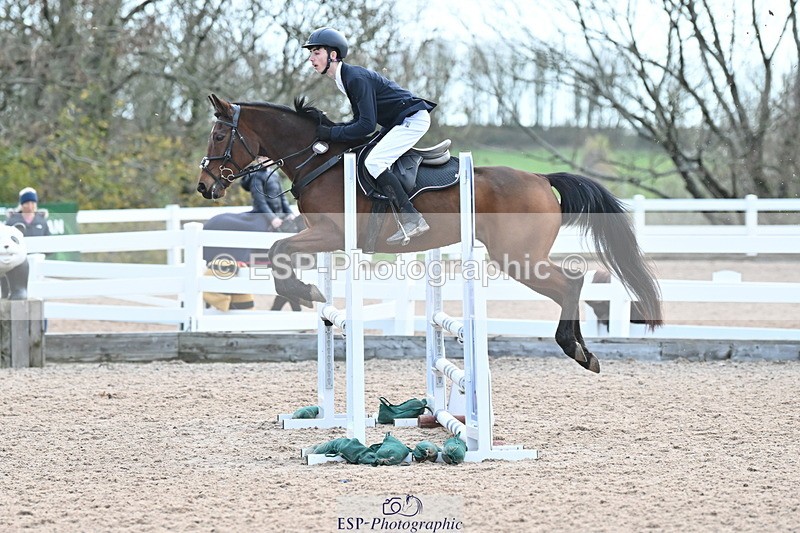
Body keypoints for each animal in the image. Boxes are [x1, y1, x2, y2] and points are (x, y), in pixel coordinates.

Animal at [196, 94, 663, 373]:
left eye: (218, 134)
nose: (204, 187)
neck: (319, 159)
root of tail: (540, 178)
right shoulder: (320, 235)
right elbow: (279, 253)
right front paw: (305, 291)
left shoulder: (332, 234)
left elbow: (278, 249)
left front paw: (304, 291)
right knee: (574, 281)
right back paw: (585, 351)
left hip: (518, 257)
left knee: (571, 281)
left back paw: (576, 349)